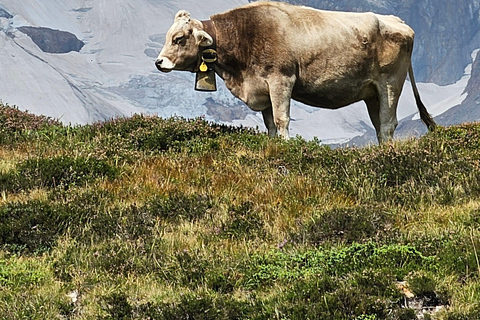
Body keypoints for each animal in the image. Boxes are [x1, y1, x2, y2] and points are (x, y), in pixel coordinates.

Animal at [156, 0, 436, 142]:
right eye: (169, 36)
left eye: (179, 39)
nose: (159, 62)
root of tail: (396, 20)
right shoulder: (262, 90)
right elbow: (270, 125)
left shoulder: (281, 80)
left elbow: (282, 120)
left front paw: (287, 147)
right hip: (371, 93)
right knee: (378, 126)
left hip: (390, 84)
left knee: (388, 124)